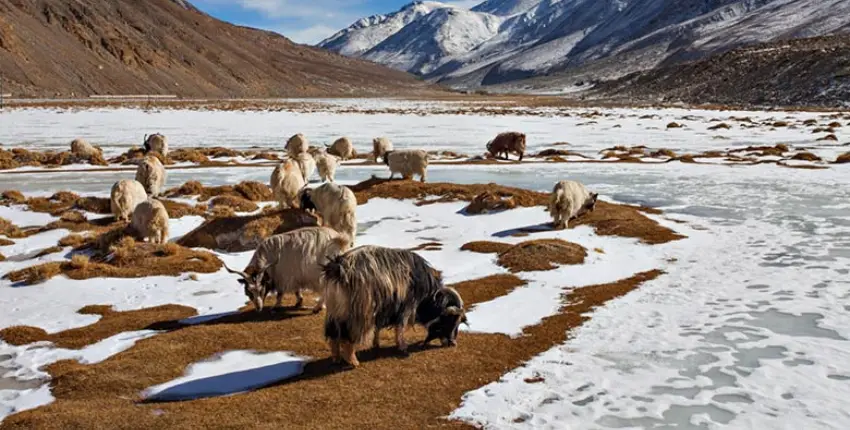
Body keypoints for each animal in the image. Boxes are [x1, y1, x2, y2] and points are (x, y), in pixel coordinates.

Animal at [320, 247, 464, 368]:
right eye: (449, 320)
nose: (452, 343)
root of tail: (337, 269)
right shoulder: (405, 307)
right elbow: (399, 327)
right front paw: (402, 347)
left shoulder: (382, 311)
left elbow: (378, 329)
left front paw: (376, 344)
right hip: (357, 315)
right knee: (348, 337)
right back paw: (353, 362)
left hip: (334, 313)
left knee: (333, 335)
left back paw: (337, 358)